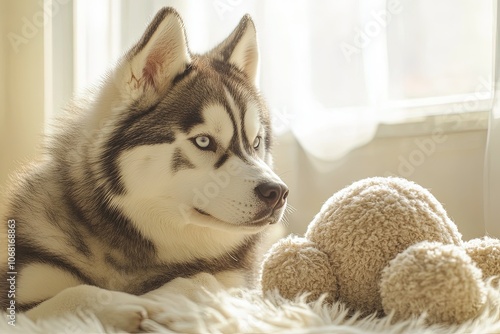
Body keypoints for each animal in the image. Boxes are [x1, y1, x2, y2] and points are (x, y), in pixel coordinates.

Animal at [0, 7, 288, 332]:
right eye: (203, 141)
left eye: (256, 142)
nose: (277, 192)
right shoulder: (20, 292)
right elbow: (72, 294)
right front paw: (120, 303)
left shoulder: (236, 282)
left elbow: (201, 278)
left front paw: (168, 299)